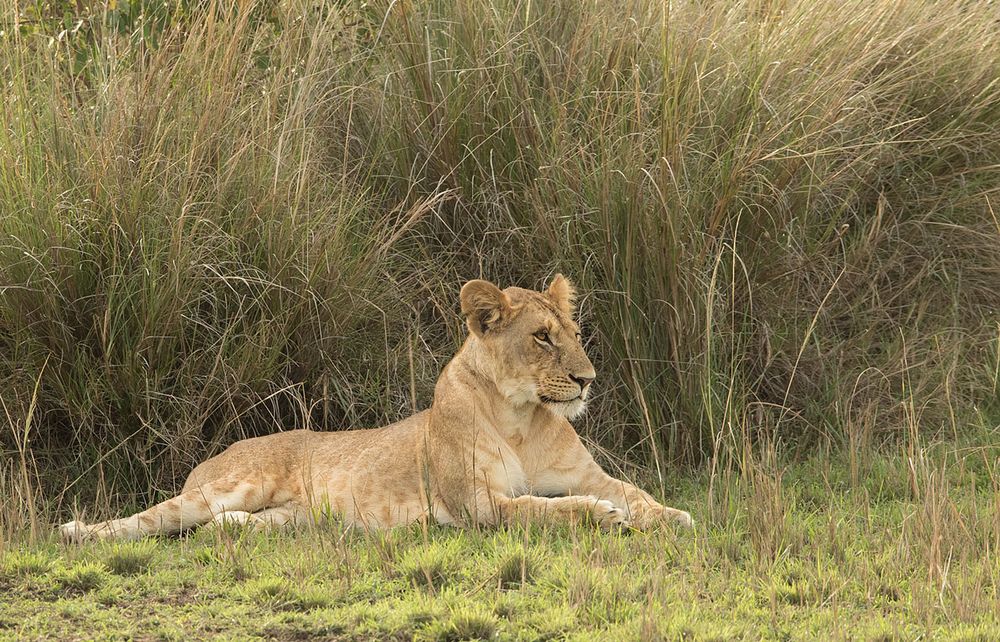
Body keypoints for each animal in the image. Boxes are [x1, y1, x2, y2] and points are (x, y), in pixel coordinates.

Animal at [60, 276, 688, 540]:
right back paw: (79, 532)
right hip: (231, 483)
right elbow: (539, 509)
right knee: (155, 519)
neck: (521, 418)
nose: (587, 381)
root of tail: (209, 459)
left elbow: (634, 491)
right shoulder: (476, 506)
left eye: (574, 334)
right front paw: (600, 516)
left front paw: (670, 515)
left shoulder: (586, 474)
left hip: (293, 517)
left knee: (220, 525)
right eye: (541, 338)